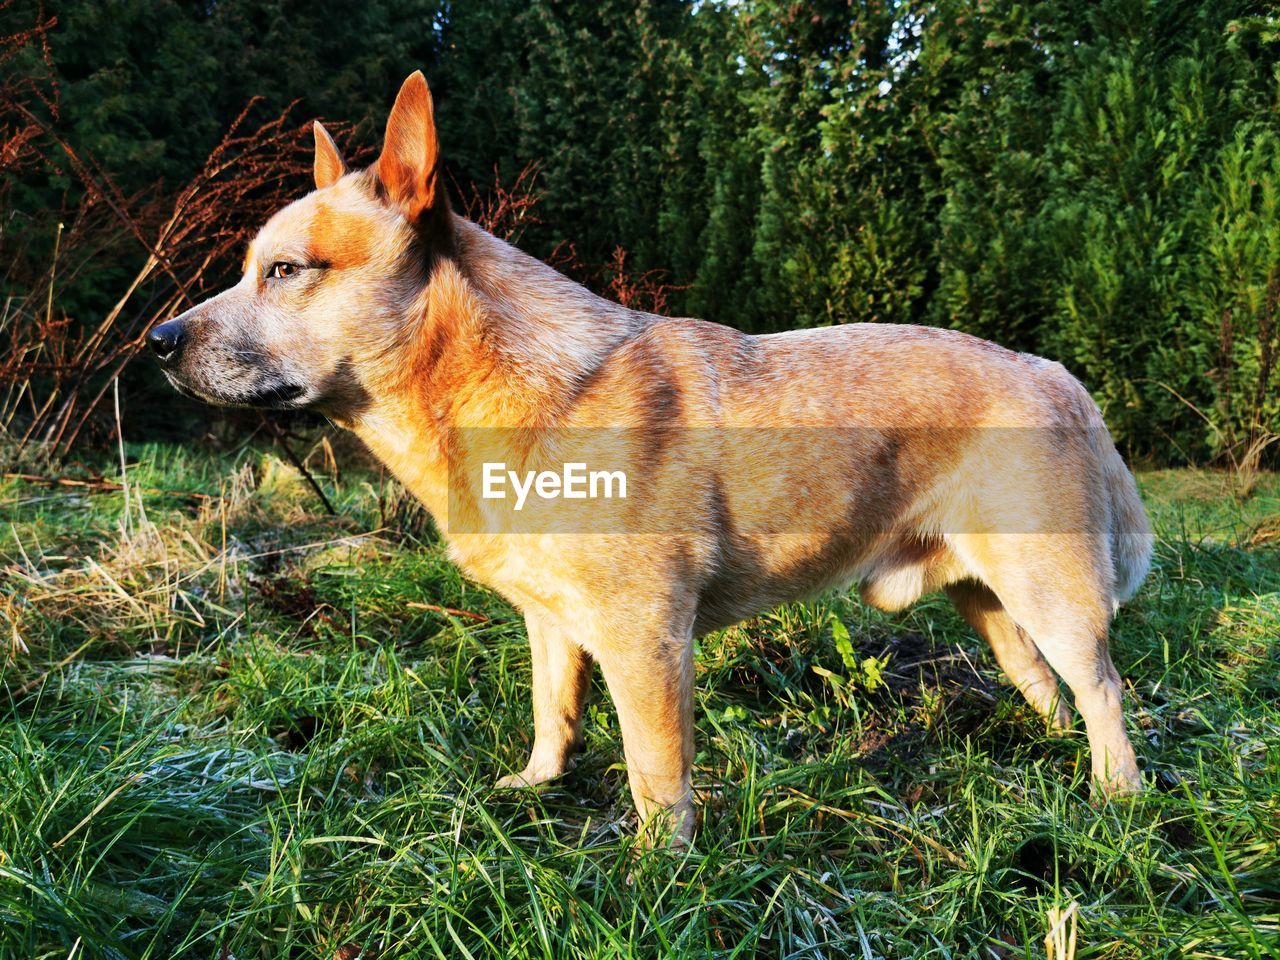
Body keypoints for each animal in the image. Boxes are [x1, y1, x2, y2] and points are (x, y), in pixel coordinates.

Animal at [147, 71, 1152, 844]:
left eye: (285, 271)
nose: (156, 340)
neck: (494, 391)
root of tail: (1056, 372)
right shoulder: (552, 622)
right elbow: (552, 711)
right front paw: (537, 785)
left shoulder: (645, 637)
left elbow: (653, 768)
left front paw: (658, 867)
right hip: (991, 597)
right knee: (1047, 686)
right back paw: (1057, 760)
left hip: (1052, 593)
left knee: (1105, 689)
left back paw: (1118, 798)